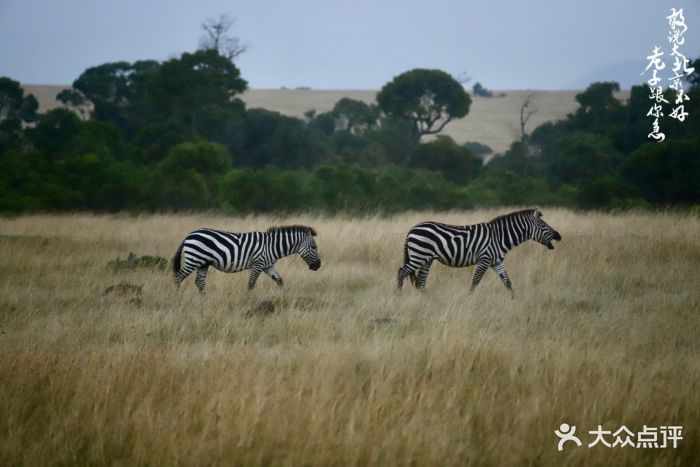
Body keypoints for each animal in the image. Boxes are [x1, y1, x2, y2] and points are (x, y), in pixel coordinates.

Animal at [174, 225, 322, 294]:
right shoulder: (258, 263)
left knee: (199, 282)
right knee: (178, 277)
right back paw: (176, 297)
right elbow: (251, 284)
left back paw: (204, 299)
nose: (318, 266)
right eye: (314, 247)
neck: (272, 246)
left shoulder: (268, 266)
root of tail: (188, 236)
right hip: (194, 259)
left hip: (203, 263)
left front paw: (285, 297)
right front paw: (249, 300)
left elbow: (280, 281)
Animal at [396, 207, 560, 296]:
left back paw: (427, 300)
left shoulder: (497, 262)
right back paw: (398, 296)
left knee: (422, 280)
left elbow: (508, 282)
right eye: (544, 226)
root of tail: (412, 228)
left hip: (427, 258)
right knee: (402, 271)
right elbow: (475, 281)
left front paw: (515, 300)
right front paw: (469, 299)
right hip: (419, 255)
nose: (559, 236)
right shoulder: (484, 259)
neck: (499, 237)